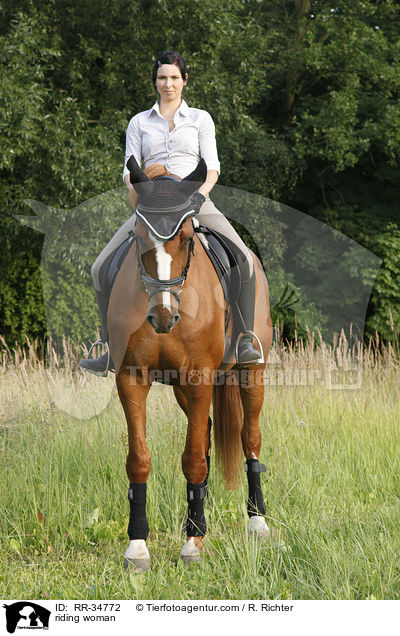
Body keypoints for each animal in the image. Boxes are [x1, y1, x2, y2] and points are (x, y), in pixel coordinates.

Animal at [108, 158, 272, 572]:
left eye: (184, 238)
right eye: (138, 236)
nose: (163, 317)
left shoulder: (200, 379)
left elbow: (194, 459)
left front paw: (192, 544)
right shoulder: (131, 379)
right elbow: (139, 460)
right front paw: (138, 546)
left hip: (251, 373)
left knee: (250, 438)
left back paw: (256, 522)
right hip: (184, 389)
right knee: (209, 431)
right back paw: (202, 516)